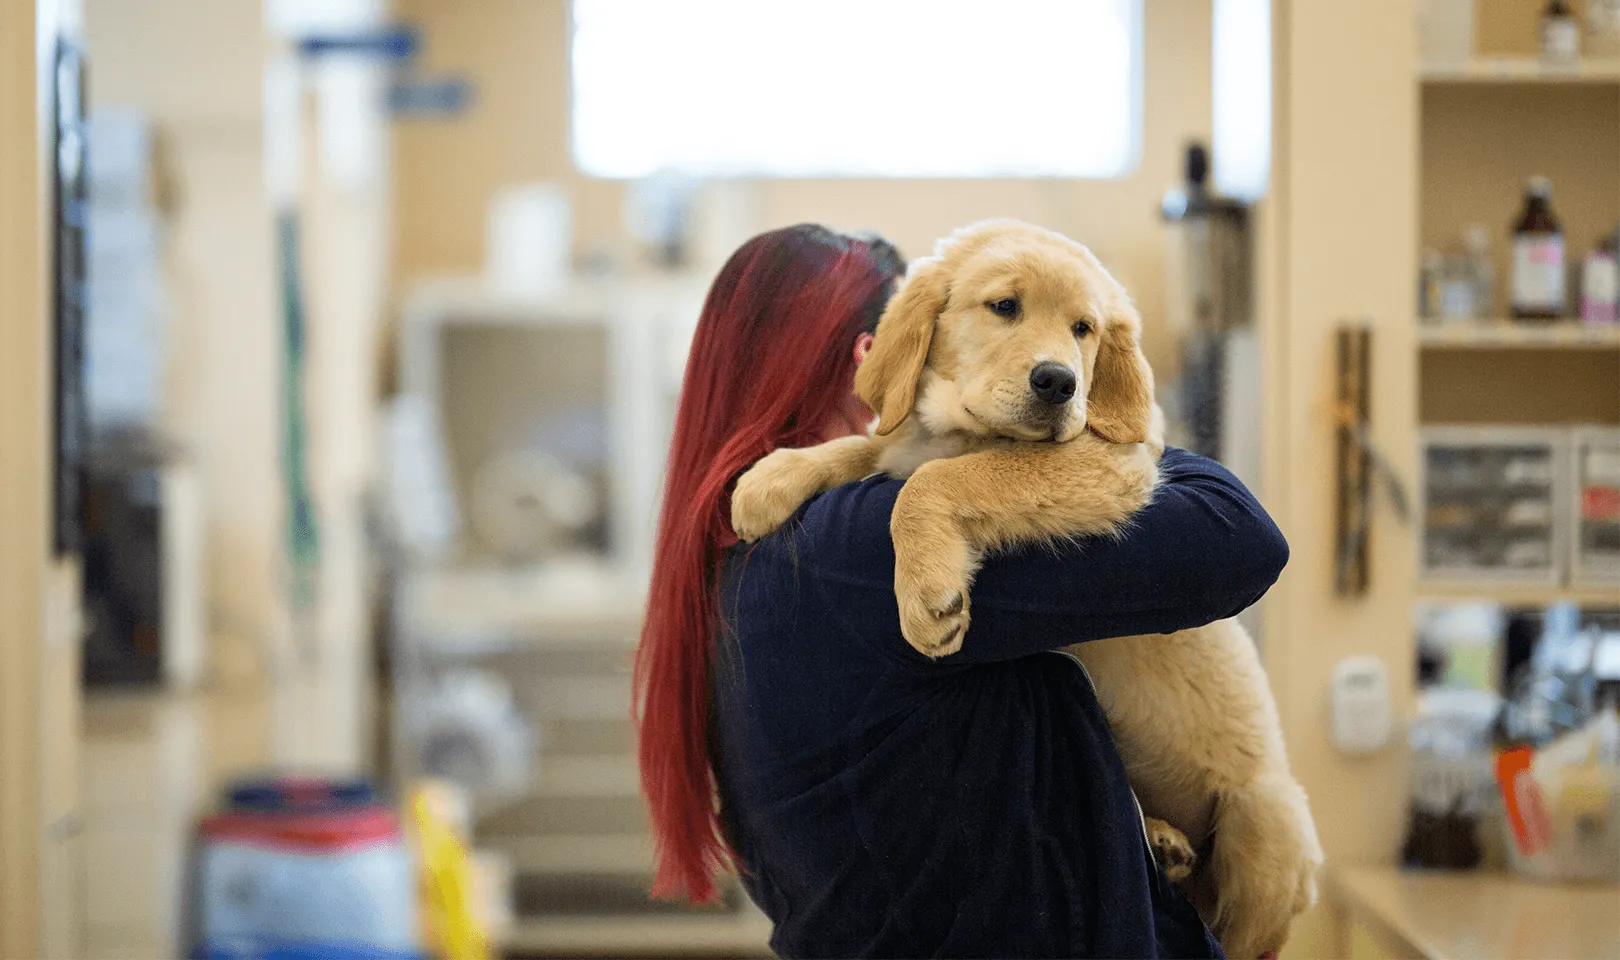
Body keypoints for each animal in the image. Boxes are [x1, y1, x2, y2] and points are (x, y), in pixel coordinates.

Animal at [735, 218, 1328, 958]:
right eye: (1004, 307)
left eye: (1084, 328)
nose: (1058, 383)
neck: (963, 429)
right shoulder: (910, 441)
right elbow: (870, 443)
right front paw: (771, 479)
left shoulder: (1107, 461)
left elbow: (943, 478)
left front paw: (928, 594)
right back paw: (1163, 840)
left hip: (1267, 817)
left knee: (1239, 927)